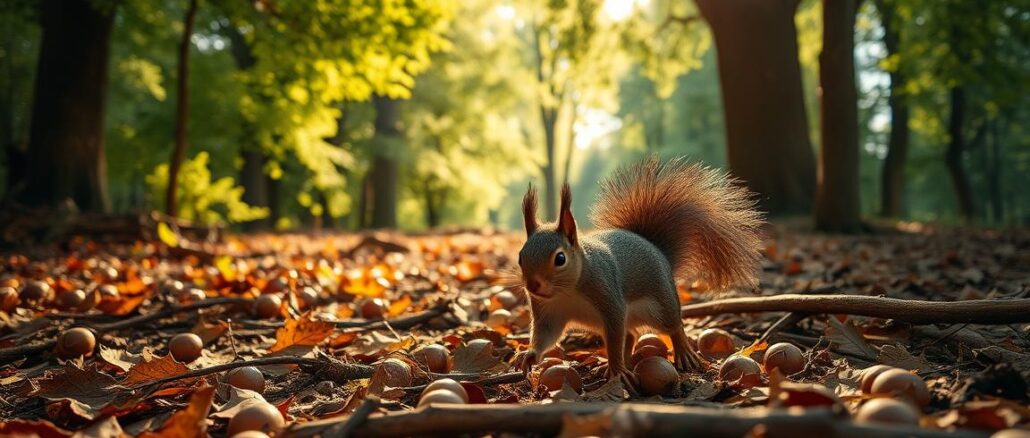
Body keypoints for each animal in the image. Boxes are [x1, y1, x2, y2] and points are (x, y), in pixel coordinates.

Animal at [515, 156, 766, 385]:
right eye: (520, 257)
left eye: (560, 258)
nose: (533, 285)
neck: (566, 291)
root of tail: (657, 250)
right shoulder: (548, 312)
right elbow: (547, 335)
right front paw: (530, 356)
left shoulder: (609, 300)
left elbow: (615, 337)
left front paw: (617, 368)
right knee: (631, 334)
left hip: (660, 306)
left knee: (672, 325)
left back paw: (682, 352)